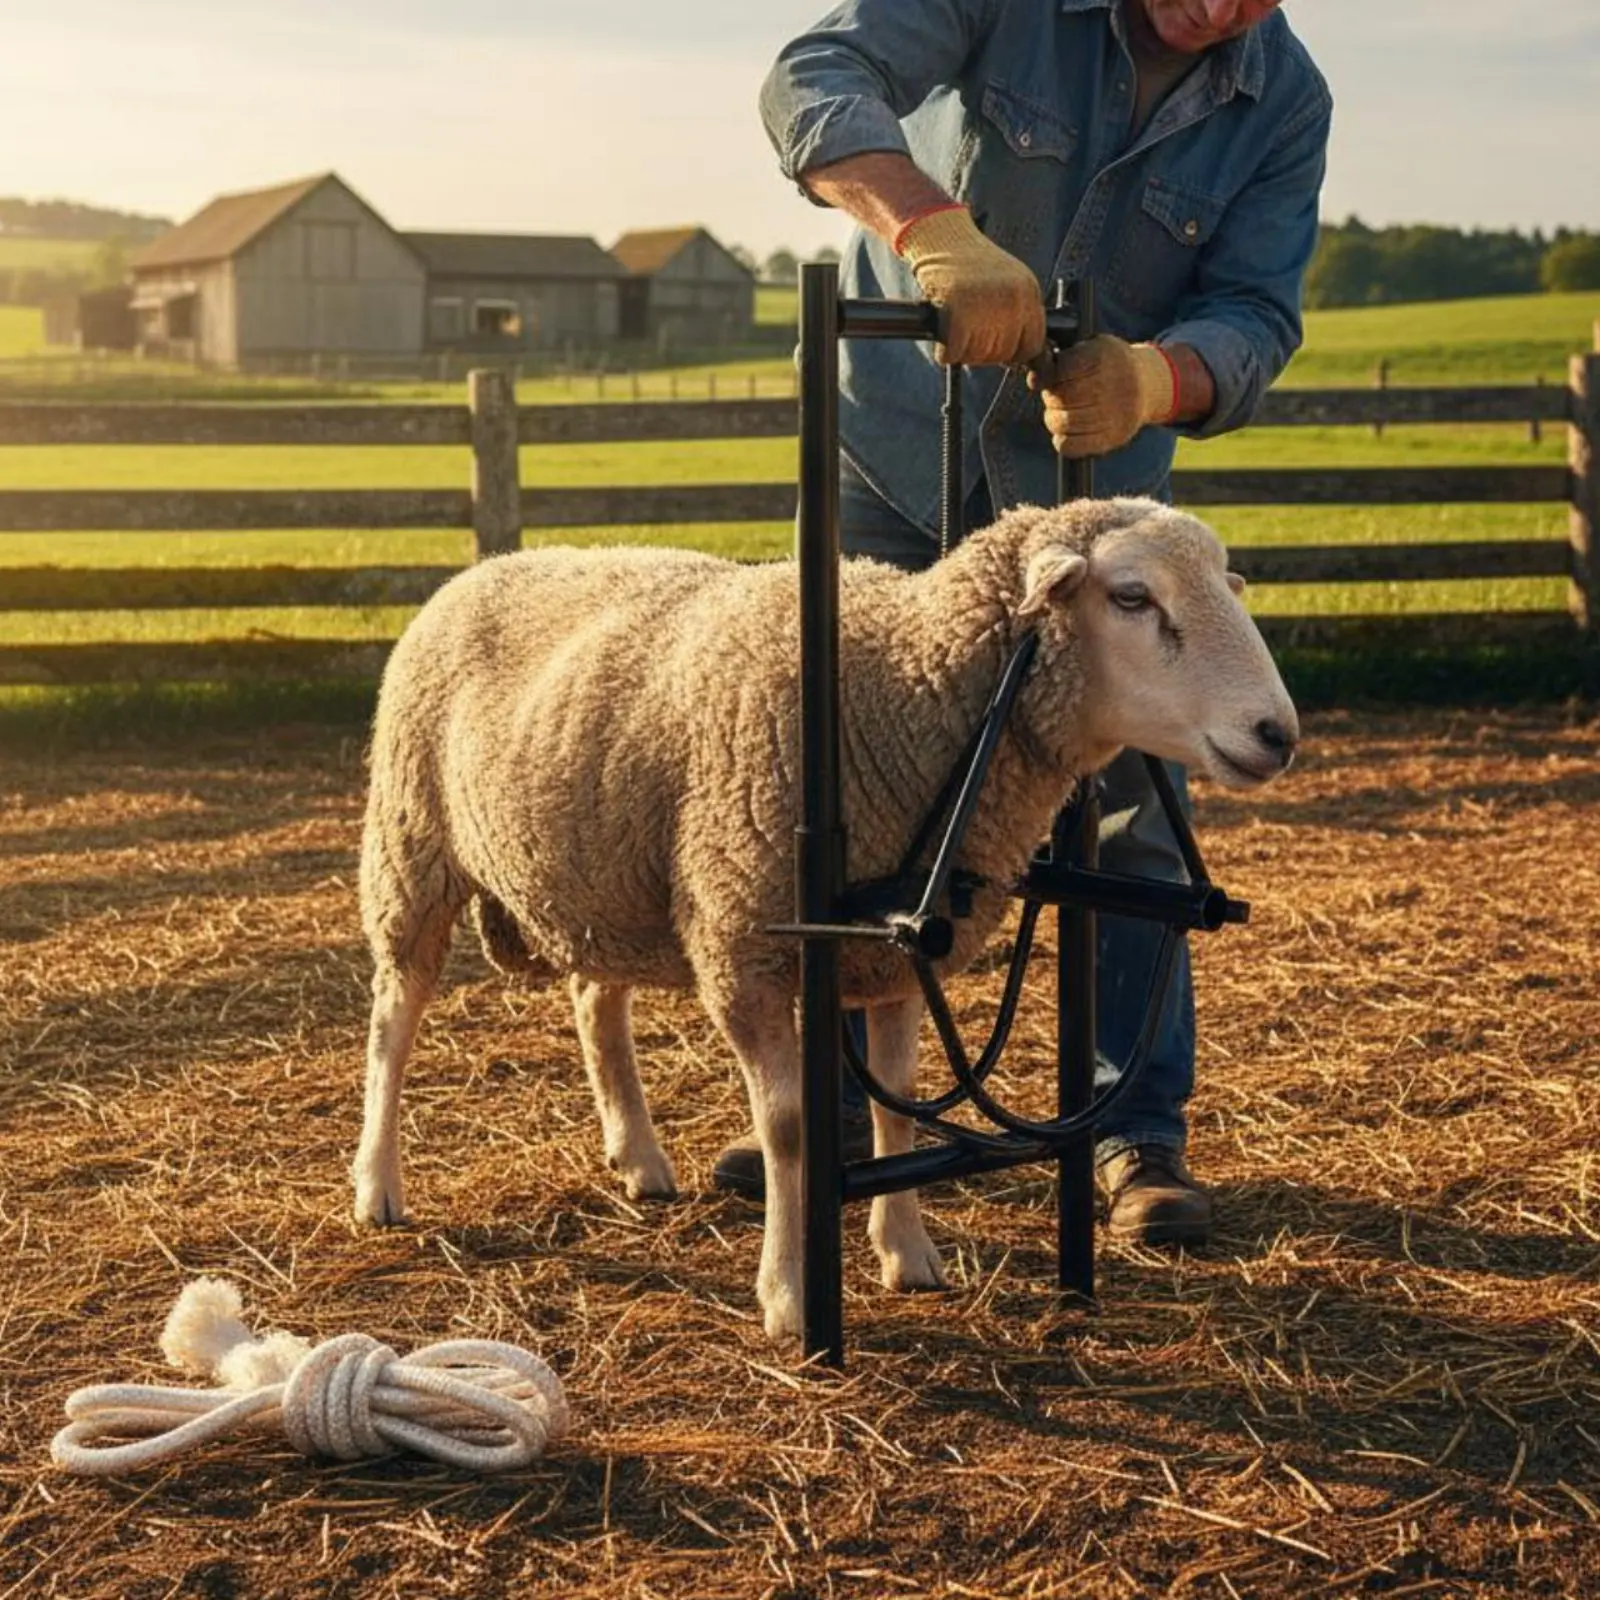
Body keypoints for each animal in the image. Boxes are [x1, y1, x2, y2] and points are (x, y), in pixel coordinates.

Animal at [351, 496, 1299, 1341]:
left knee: (595, 1002)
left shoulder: (902, 956)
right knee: (393, 1023)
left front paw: (907, 1254)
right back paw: (378, 1185)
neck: (905, 691)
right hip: (411, 847)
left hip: (605, 877)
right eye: (1132, 597)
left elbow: (900, 1110)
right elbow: (791, 1130)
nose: (1278, 733)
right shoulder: (746, 944)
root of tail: (490, 565)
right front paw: (790, 1295)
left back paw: (641, 1158)